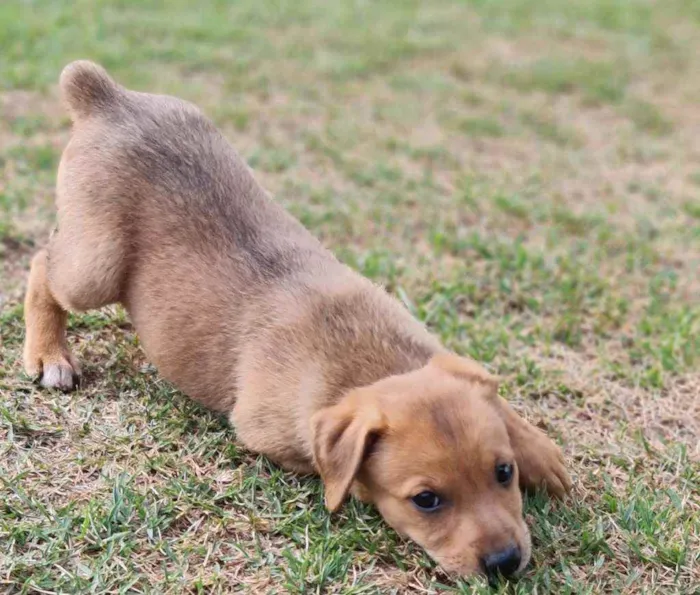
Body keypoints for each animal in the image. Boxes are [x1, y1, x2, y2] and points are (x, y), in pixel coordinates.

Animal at [23, 61, 576, 584]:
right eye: (426, 500)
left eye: (503, 471)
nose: (505, 561)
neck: (377, 362)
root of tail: (105, 95)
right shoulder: (271, 435)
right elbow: (340, 475)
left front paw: (539, 452)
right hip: (94, 266)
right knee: (42, 264)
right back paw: (49, 354)